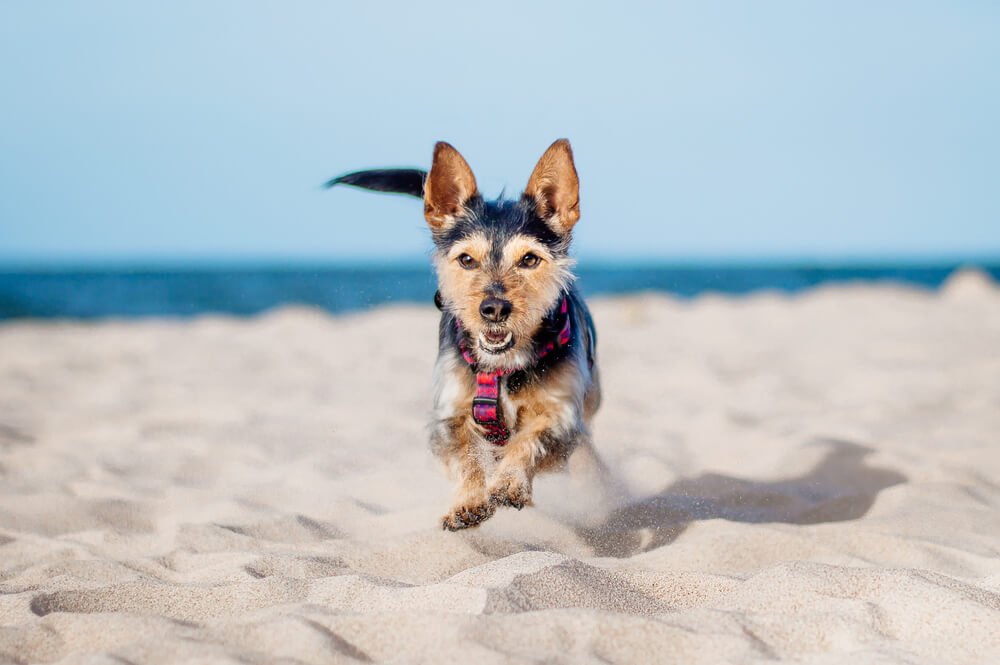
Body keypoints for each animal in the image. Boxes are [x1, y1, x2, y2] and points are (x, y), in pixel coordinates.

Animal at [328, 140, 600, 528]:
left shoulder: (561, 415)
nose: (494, 309)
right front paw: (468, 501)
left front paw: (509, 482)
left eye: (530, 260)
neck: (500, 368)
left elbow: (529, 440)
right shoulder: (448, 415)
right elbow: (467, 456)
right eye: (467, 260)